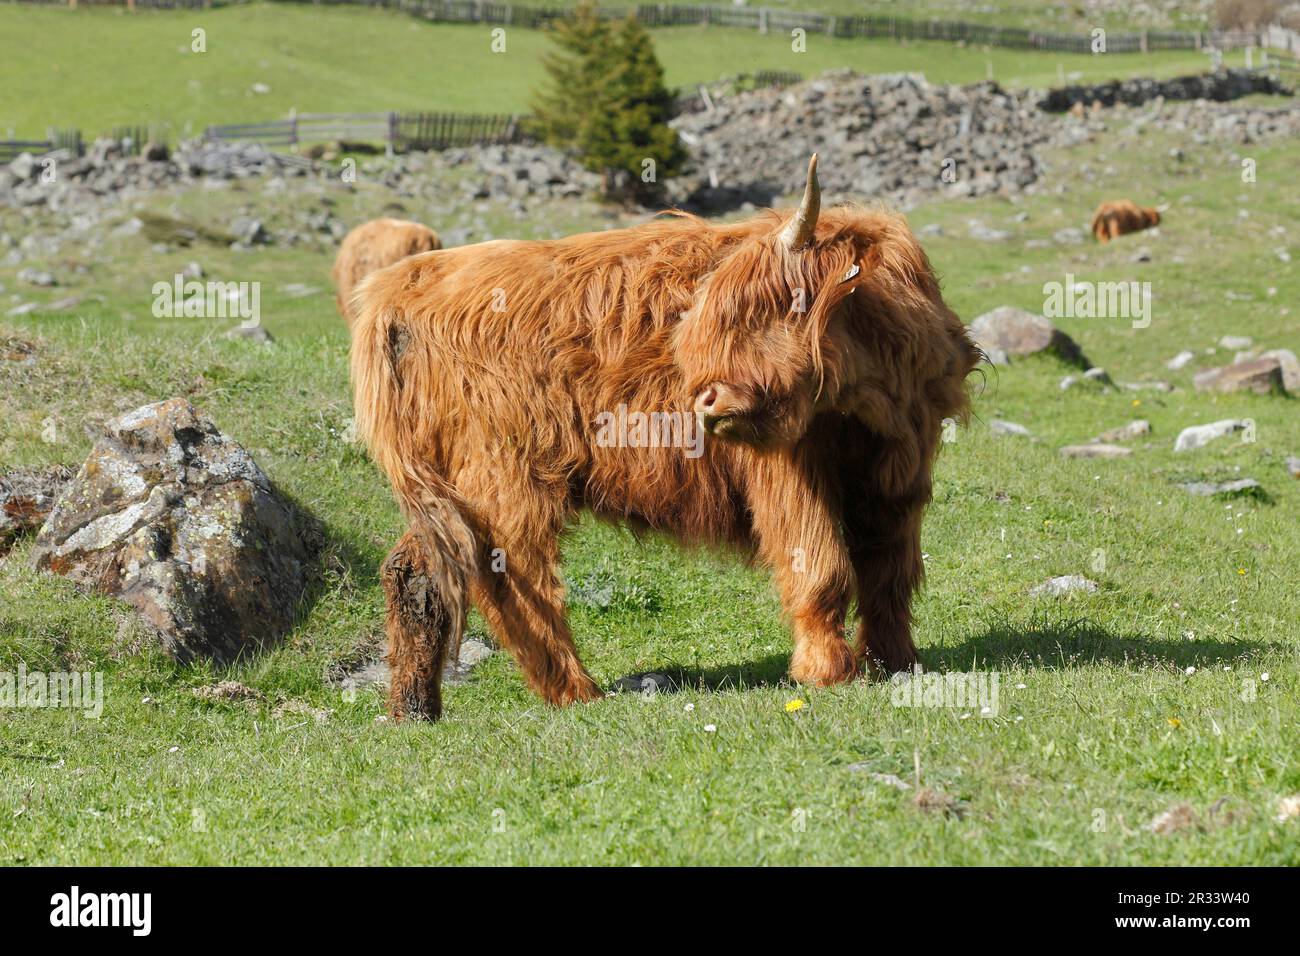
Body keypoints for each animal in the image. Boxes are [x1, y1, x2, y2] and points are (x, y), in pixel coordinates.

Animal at [350, 156, 981, 721]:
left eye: (769, 307)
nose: (706, 400)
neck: (867, 398)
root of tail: (397, 287)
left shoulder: (901, 467)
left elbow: (889, 570)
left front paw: (897, 663)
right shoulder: (789, 468)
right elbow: (821, 564)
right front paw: (827, 671)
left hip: (448, 489)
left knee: (418, 571)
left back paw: (414, 708)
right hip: (502, 475)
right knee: (509, 576)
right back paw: (575, 691)